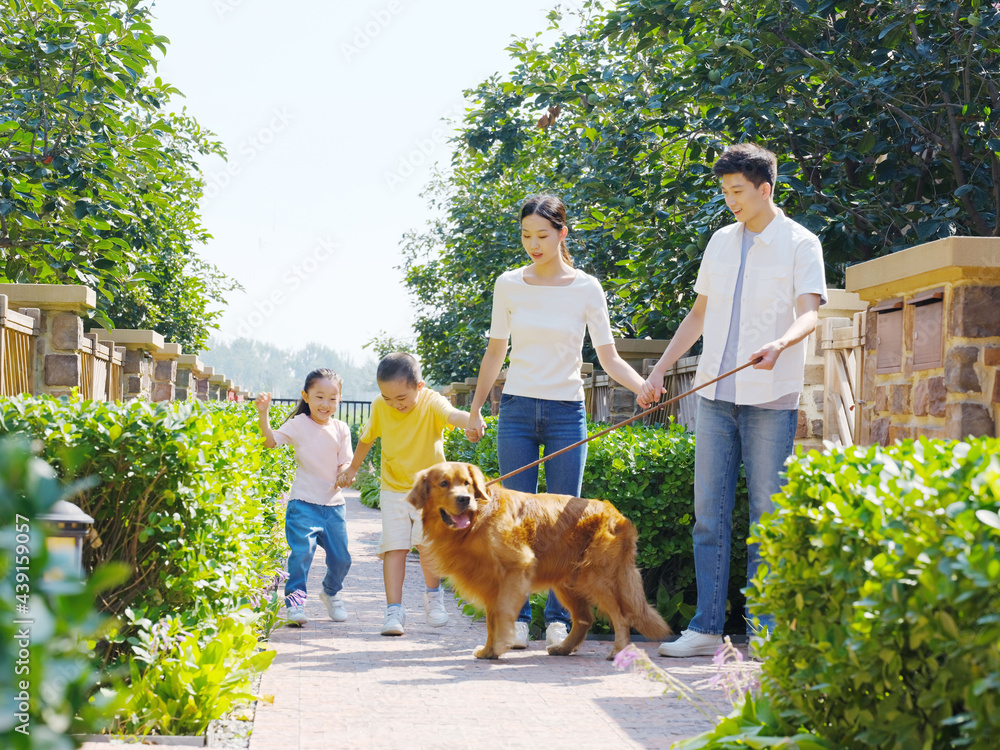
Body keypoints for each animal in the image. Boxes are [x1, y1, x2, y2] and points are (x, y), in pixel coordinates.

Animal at [406, 462, 672, 660]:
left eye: (467, 484)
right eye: (444, 483)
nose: (464, 499)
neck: (476, 521)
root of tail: (618, 515)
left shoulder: (517, 567)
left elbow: (502, 613)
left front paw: (500, 645)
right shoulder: (492, 582)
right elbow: (492, 620)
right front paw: (489, 650)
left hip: (595, 577)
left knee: (622, 616)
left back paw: (618, 650)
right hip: (568, 582)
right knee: (585, 619)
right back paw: (564, 648)